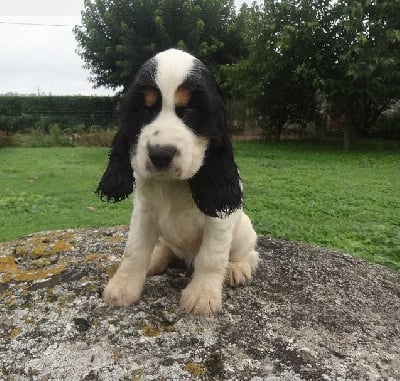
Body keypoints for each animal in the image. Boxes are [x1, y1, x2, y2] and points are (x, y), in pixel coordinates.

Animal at [97, 48, 260, 314]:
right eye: (146, 109)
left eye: (189, 111)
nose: (160, 154)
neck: (172, 185)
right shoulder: (144, 212)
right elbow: (134, 250)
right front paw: (123, 287)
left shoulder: (219, 219)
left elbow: (212, 257)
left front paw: (202, 296)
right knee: (166, 248)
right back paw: (155, 260)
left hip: (244, 230)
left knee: (248, 254)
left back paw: (237, 269)